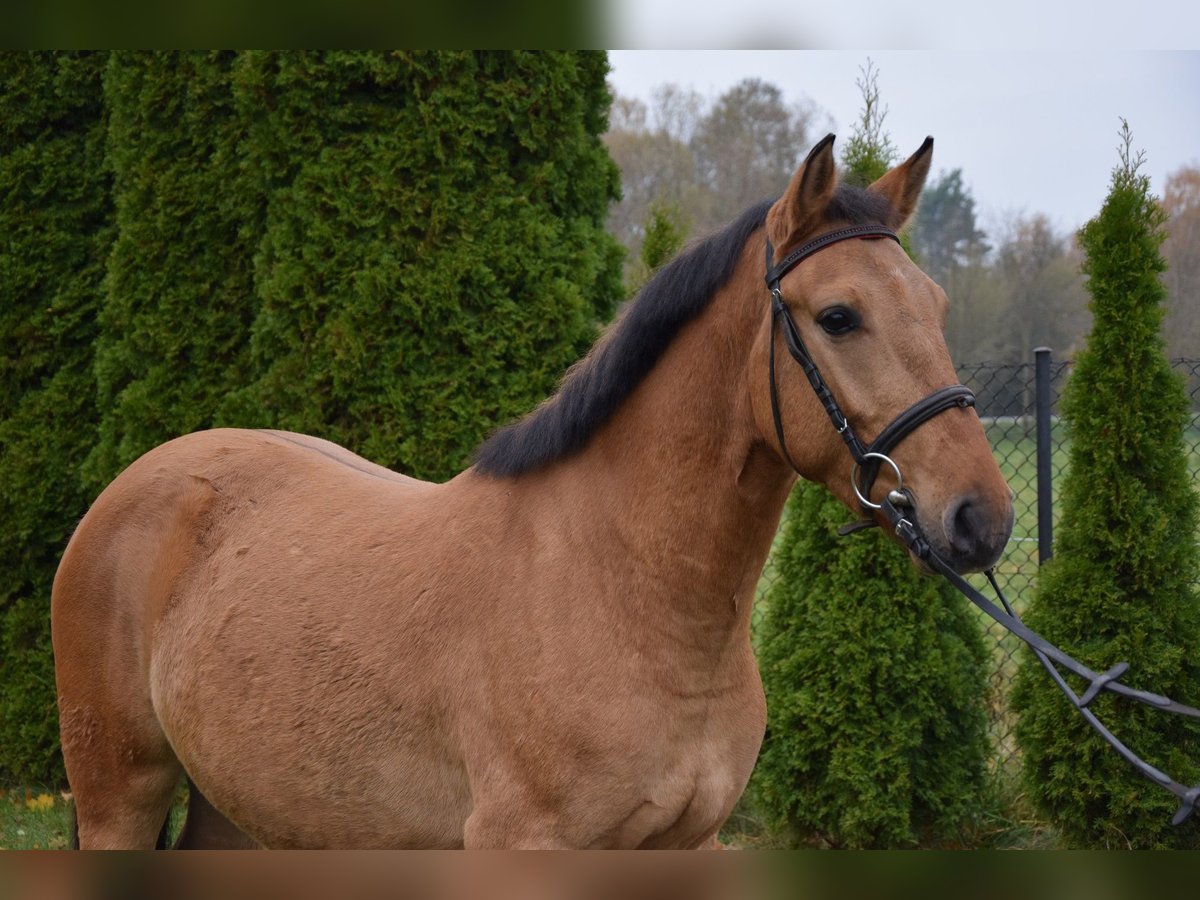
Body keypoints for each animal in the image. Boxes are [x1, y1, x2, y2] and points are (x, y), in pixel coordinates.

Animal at [52, 134, 1014, 849]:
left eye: (935, 305)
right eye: (839, 317)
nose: (982, 518)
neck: (628, 591)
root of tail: (138, 484)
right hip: (118, 796)